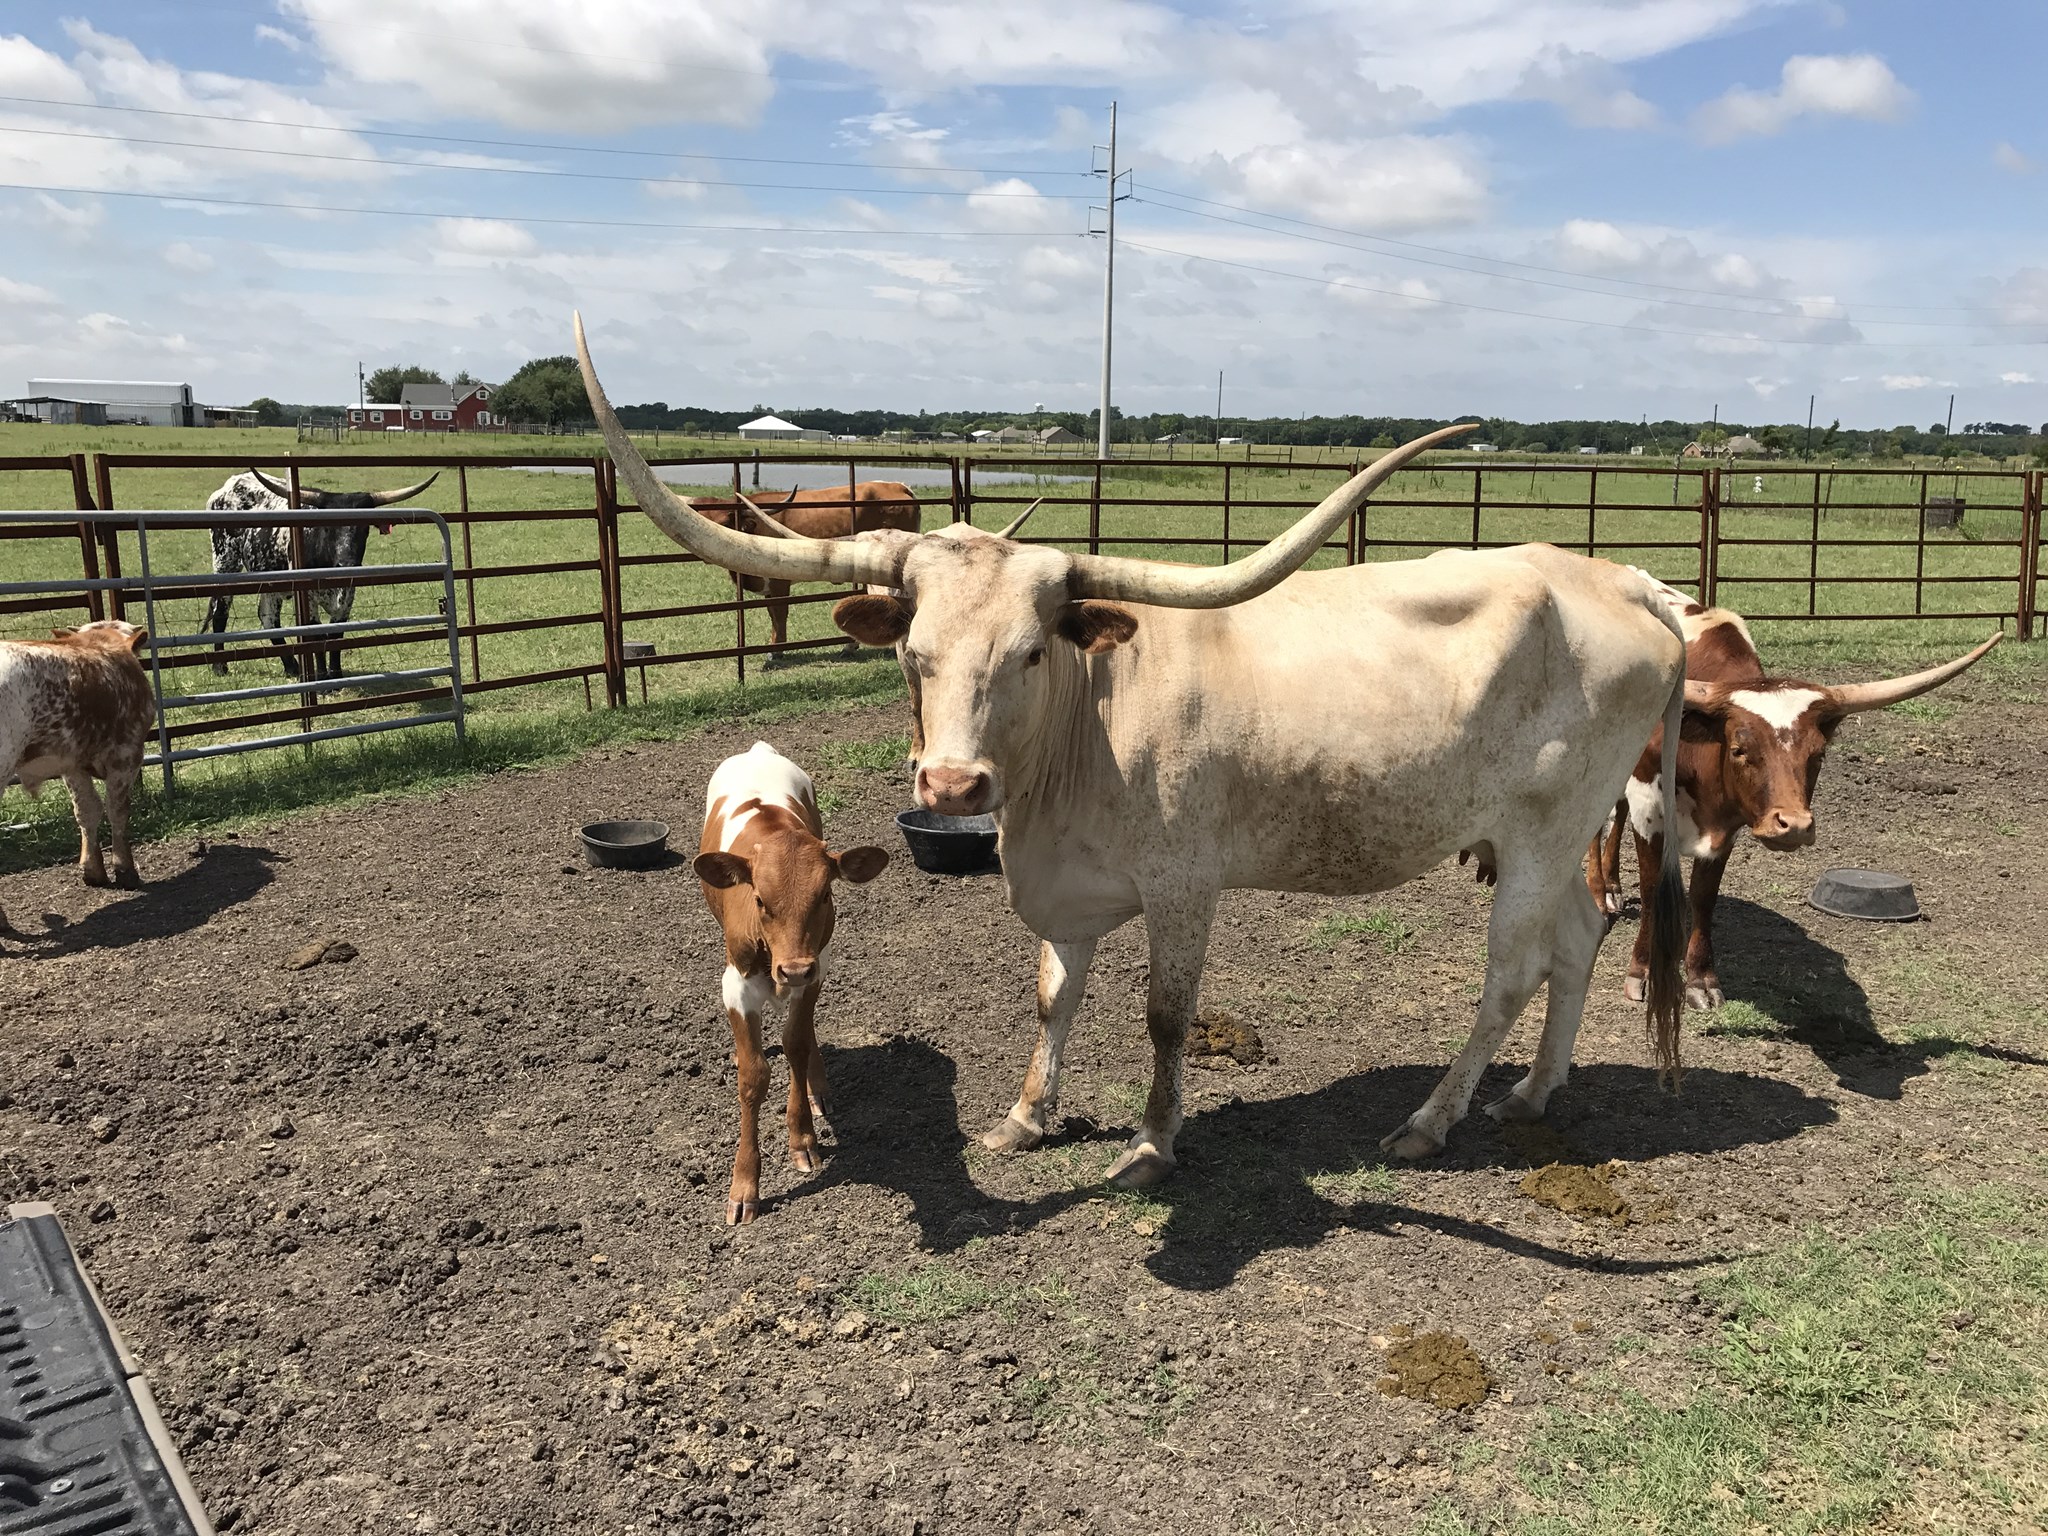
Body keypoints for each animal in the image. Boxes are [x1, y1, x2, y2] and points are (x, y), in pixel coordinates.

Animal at [0, 620, 154, 933]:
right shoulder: (126, 755)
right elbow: (117, 810)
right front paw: (125, 870)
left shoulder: (71, 764)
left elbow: (87, 811)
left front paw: (93, 870)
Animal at [202, 468, 439, 679]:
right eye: (327, 525)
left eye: (364, 527)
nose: (347, 564)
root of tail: (230, 484)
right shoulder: (307, 596)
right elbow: (315, 633)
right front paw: (323, 677)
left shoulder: (348, 595)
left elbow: (336, 634)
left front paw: (335, 675)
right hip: (226, 561)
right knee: (220, 610)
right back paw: (219, 667)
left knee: (268, 617)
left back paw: (292, 667)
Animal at [684, 482, 924, 651]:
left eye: (725, 522)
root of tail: (897, 486)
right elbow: (772, 613)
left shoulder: (779, 582)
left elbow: (779, 613)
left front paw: (776, 651)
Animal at [695, 741, 890, 1223]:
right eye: (760, 900)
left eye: (825, 894)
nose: (794, 969)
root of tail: (757, 749)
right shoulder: (736, 983)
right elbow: (754, 1075)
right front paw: (744, 1184)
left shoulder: (817, 967)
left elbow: (796, 1046)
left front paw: (802, 1136)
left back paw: (819, 1088)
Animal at [1587, 583, 1999, 1009]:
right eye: (1740, 749)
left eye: (1818, 755)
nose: (1794, 826)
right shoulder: (1650, 806)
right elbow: (1653, 889)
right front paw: (1641, 972)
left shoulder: (1728, 827)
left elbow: (1703, 896)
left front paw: (1701, 980)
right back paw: (1601, 894)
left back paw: (1614, 886)